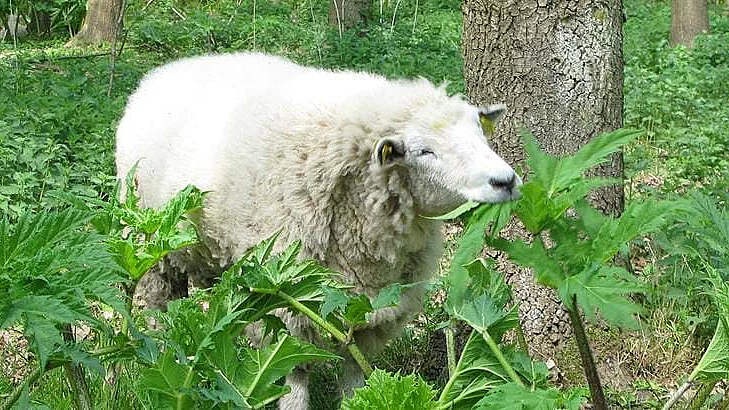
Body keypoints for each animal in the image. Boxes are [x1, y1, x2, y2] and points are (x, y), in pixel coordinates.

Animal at [115, 52, 516, 410]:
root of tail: (165, 72)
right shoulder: (284, 301)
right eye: (424, 151)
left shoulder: (369, 311)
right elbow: (293, 376)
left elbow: (356, 375)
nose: (506, 180)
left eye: (481, 133)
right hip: (152, 242)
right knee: (159, 308)